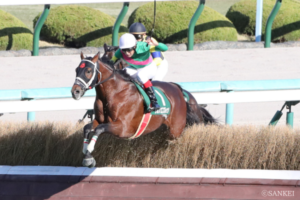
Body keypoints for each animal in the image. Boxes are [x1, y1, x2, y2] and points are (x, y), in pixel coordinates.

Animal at [71, 52, 214, 167]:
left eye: (88, 71)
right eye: (76, 69)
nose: (75, 91)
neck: (114, 93)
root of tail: (177, 88)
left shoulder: (124, 128)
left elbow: (99, 129)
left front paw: (89, 153)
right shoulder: (100, 120)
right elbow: (87, 128)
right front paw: (87, 155)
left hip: (175, 130)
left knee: (173, 140)